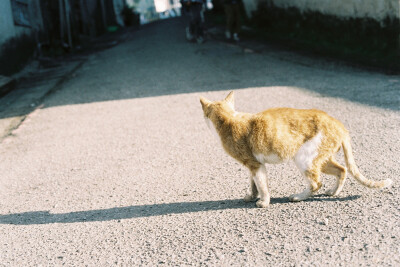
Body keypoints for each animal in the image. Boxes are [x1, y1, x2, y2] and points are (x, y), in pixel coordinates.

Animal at [198, 92, 392, 209]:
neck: (229, 119)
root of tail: (340, 125)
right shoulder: (253, 164)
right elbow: (253, 183)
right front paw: (251, 196)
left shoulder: (255, 164)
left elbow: (262, 185)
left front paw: (263, 201)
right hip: (320, 159)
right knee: (342, 170)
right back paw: (333, 192)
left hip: (304, 159)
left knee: (316, 183)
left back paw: (299, 197)